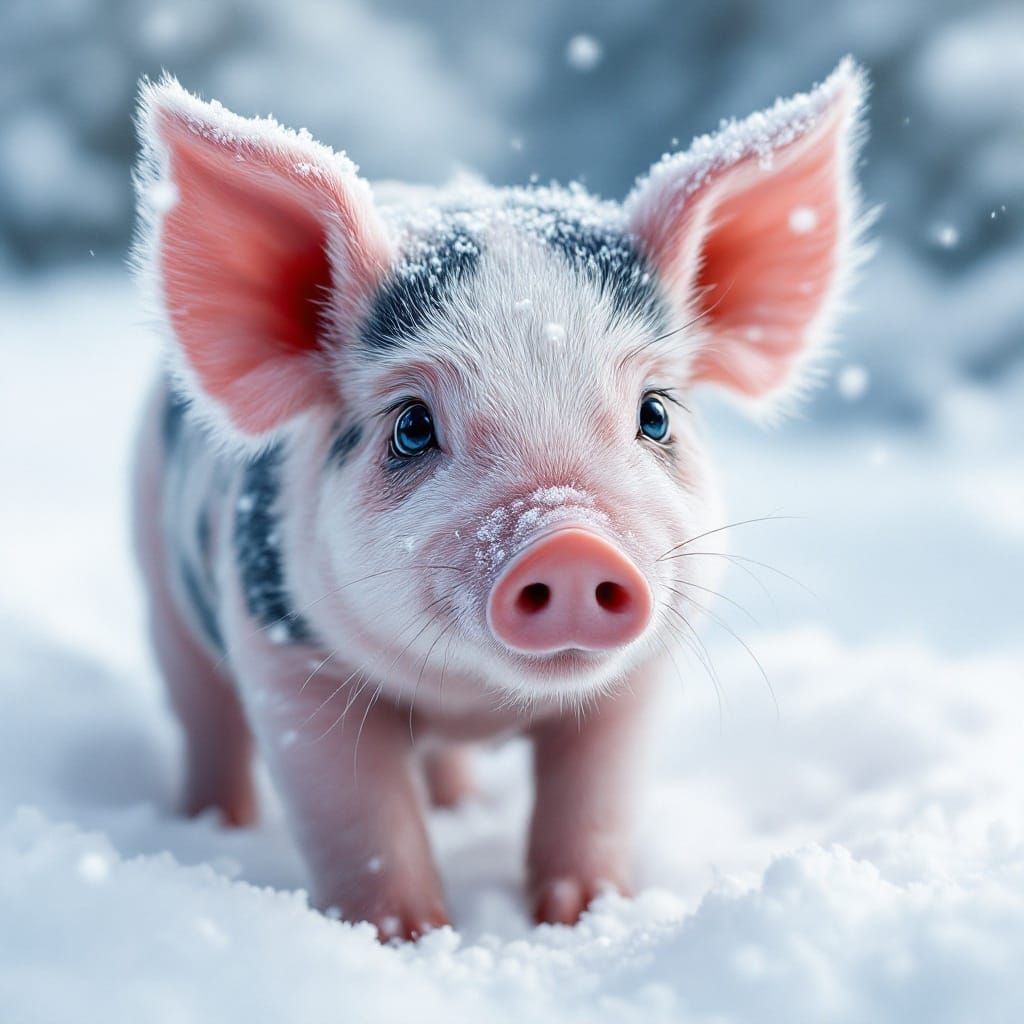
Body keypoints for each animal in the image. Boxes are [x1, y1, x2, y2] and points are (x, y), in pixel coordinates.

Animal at [130, 59, 868, 940]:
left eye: (655, 413)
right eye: (413, 426)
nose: (571, 541)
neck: (479, 702)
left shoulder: (636, 679)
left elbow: (594, 799)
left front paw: (583, 920)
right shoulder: (286, 653)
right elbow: (356, 815)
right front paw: (409, 937)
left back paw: (461, 805)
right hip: (158, 585)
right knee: (204, 721)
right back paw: (212, 827)